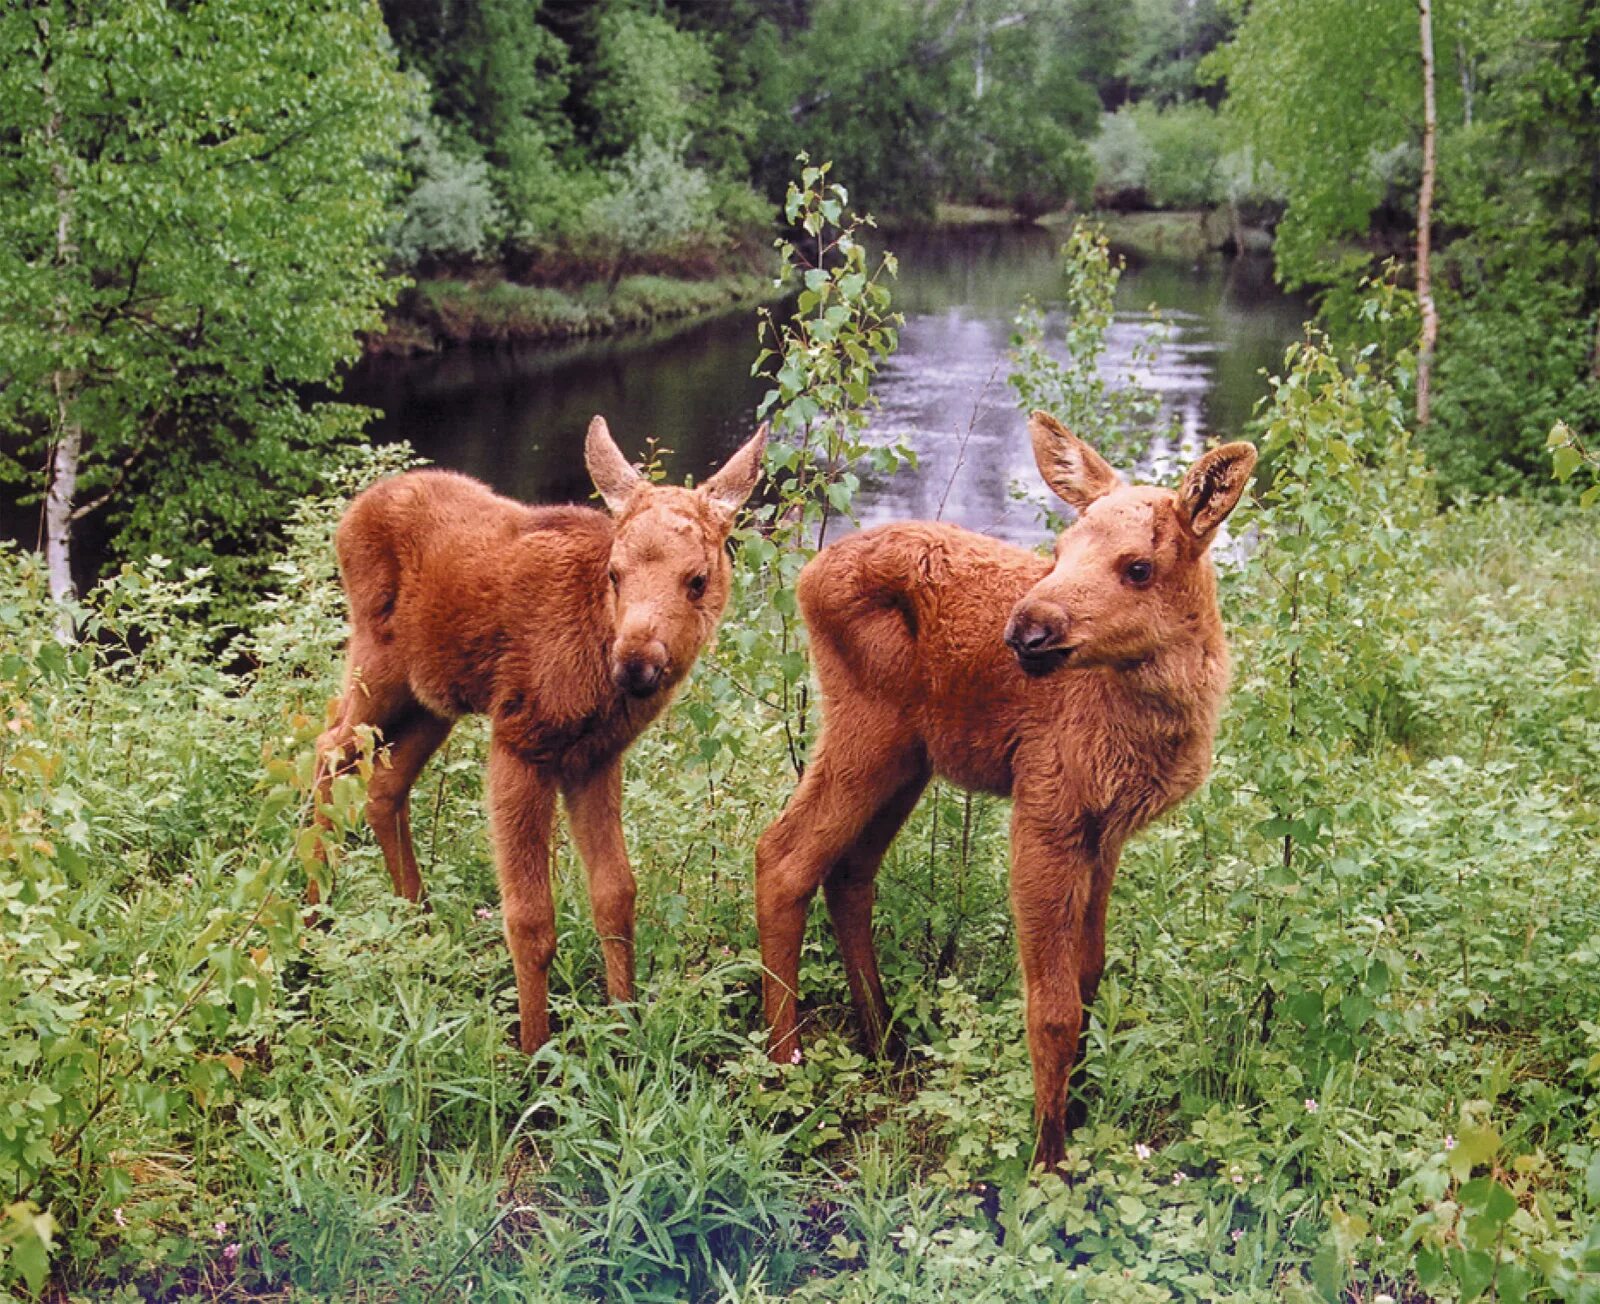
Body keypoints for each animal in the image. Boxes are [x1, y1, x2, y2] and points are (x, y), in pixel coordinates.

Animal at [318, 419, 768, 1049]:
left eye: (697, 580)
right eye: (615, 573)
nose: (634, 663)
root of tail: (353, 513)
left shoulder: (595, 759)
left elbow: (616, 893)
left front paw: (625, 1023)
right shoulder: (520, 740)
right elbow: (531, 918)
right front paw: (533, 1049)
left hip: (432, 696)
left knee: (383, 785)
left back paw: (418, 919)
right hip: (377, 665)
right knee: (327, 746)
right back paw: (313, 911)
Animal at [755, 412, 1254, 1164]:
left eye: (1139, 567)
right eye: (1062, 547)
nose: (1026, 630)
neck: (1152, 725)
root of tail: (807, 576)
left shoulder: (1106, 831)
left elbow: (1090, 974)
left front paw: (1079, 1110)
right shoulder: (1045, 805)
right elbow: (1051, 1007)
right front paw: (1049, 1158)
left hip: (911, 757)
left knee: (847, 871)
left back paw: (883, 1040)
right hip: (868, 729)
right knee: (783, 858)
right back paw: (784, 1072)